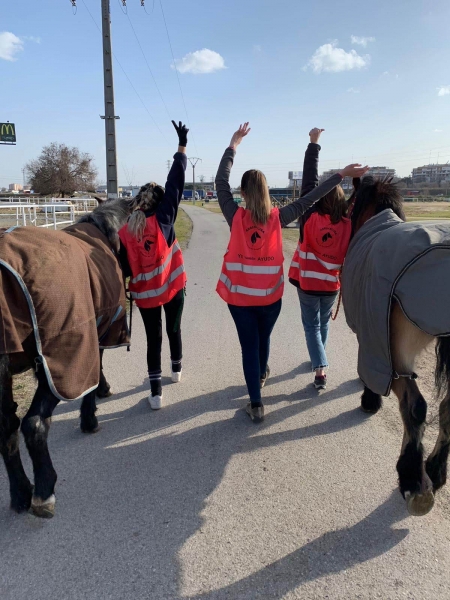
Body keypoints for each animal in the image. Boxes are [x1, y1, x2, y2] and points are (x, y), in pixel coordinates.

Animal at [0, 199, 134, 516]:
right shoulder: (90, 336)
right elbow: (95, 368)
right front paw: (91, 415)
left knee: (7, 428)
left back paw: (21, 492)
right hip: (60, 354)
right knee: (34, 423)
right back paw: (43, 490)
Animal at [342, 177, 450, 516]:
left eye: (349, 203)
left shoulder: (375, 339)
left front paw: (369, 399)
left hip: (401, 353)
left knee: (414, 406)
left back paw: (413, 480)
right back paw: (434, 472)